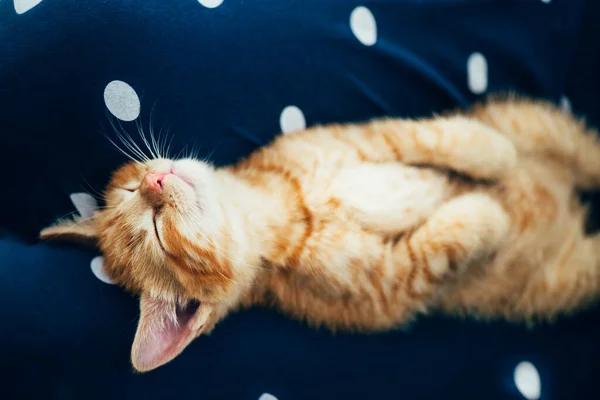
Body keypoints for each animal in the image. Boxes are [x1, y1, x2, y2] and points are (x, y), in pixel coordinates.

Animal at [39, 96, 600, 372]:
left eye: (131, 189)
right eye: (155, 231)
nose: (156, 180)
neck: (286, 209)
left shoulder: (369, 135)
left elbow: (434, 134)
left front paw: (494, 155)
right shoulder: (390, 285)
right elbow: (450, 236)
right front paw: (490, 214)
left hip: (536, 122)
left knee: (580, 148)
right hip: (567, 279)